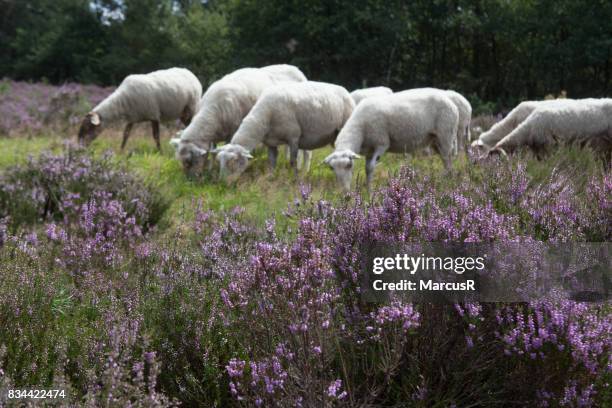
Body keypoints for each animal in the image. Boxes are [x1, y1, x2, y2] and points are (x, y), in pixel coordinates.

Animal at [170, 64, 308, 176]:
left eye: (189, 161)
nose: (190, 180)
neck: (213, 111)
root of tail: (296, 69)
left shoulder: (232, 133)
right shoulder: (213, 136)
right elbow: (213, 152)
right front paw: (211, 169)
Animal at [213, 80, 354, 182]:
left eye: (233, 161)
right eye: (219, 161)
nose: (222, 183)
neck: (266, 115)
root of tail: (345, 91)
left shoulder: (293, 138)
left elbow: (293, 161)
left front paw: (294, 180)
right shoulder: (270, 143)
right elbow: (271, 162)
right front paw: (270, 178)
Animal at [322, 89, 456, 191]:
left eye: (349, 165)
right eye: (332, 168)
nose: (346, 194)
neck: (360, 128)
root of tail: (450, 102)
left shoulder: (381, 143)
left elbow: (371, 167)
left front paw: (370, 192)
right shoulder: (369, 150)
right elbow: (367, 170)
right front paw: (368, 191)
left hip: (445, 135)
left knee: (447, 161)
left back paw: (447, 182)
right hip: (435, 140)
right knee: (446, 161)